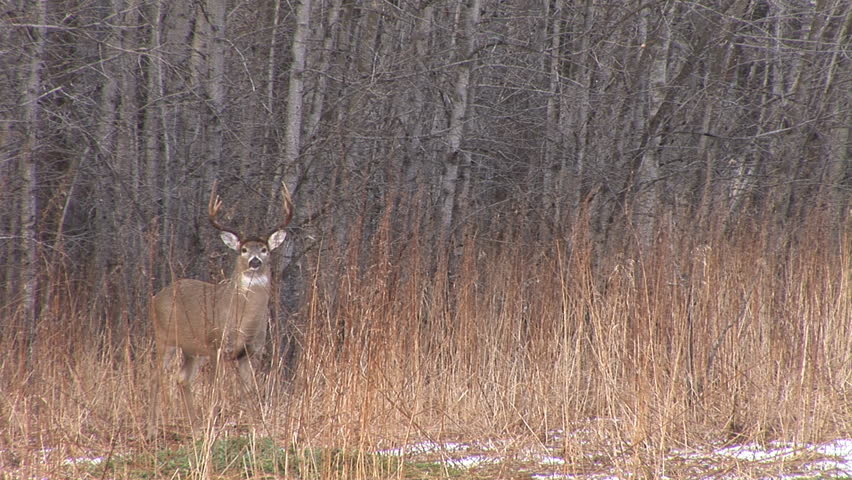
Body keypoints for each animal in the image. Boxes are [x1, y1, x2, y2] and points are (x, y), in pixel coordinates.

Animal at [147, 181, 293, 438]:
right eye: (243, 250)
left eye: (264, 249)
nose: (255, 261)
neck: (243, 322)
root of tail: (157, 296)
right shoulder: (216, 345)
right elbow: (216, 390)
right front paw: (214, 425)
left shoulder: (250, 352)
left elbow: (250, 392)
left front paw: (258, 430)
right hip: (165, 338)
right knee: (156, 376)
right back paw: (153, 429)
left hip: (193, 349)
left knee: (182, 379)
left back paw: (195, 428)